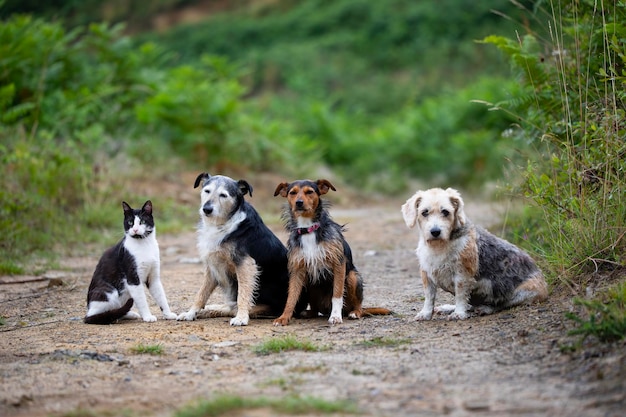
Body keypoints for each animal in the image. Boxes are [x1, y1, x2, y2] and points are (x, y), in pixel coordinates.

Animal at [177, 172, 306, 324]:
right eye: (207, 191)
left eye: (223, 195)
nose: (207, 209)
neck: (223, 223)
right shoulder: (212, 265)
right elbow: (201, 294)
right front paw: (190, 313)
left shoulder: (245, 264)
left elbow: (242, 295)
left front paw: (241, 317)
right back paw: (210, 309)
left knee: (236, 307)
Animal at [270, 179, 388, 324]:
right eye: (292, 193)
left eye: (310, 192)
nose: (299, 202)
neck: (308, 229)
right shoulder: (297, 269)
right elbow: (291, 297)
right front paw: (284, 317)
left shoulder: (338, 264)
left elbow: (337, 294)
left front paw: (335, 316)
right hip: (309, 283)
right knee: (315, 309)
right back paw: (309, 312)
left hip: (353, 277)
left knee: (358, 305)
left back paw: (355, 312)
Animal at [402, 187, 544, 320]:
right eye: (424, 212)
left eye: (445, 212)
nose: (435, 231)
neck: (440, 246)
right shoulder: (427, 275)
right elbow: (429, 298)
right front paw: (425, 314)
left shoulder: (462, 274)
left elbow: (460, 295)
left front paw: (458, 313)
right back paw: (449, 308)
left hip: (523, 293)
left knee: (502, 304)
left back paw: (485, 308)